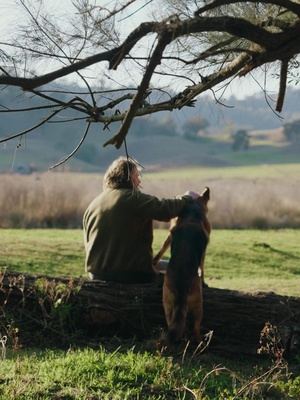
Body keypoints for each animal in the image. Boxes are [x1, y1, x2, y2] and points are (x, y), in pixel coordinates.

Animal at [154, 188, 210, 344]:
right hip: (198, 307)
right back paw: (200, 343)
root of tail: (180, 287)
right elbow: (202, 268)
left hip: (167, 305)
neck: (192, 213)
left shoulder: (169, 236)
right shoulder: (203, 253)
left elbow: (162, 250)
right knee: (195, 328)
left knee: (173, 325)